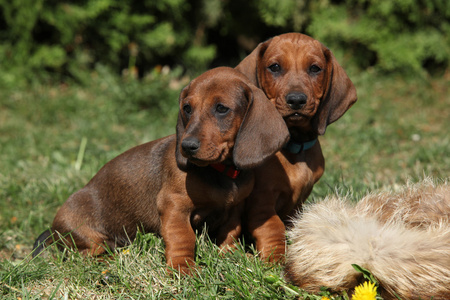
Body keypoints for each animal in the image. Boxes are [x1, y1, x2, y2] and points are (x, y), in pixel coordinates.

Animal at [33, 67, 290, 274]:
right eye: (187, 108)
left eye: (221, 108)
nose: (186, 146)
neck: (220, 173)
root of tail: (52, 229)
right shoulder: (174, 205)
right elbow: (182, 237)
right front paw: (183, 269)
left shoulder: (235, 208)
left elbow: (229, 233)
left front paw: (229, 255)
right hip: (87, 237)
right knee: (84, 256)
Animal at [236, 32, 358, 262]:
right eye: (274, 67)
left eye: (315, 68)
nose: (296, 100)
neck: (294, 146)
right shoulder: (261, 201)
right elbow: (274, 227)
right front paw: (276, 258)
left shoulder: (298, 202)